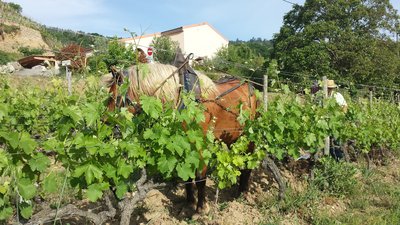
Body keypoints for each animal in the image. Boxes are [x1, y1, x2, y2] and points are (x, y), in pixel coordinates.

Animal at [106, 62, 256, 213]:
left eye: (113, 97)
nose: (105, 123)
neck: (185, 98)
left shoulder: (201, 145)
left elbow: (200, 177)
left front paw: (201, 208)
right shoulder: (183, 145)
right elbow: (188, 176)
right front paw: (190, 203)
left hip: (248, 136)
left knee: (248, 163)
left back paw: (243, 193)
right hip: (233, 137)